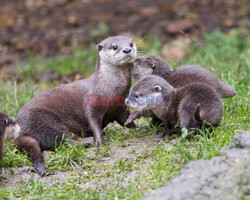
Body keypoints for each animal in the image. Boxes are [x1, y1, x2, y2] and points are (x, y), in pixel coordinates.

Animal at [16, 35, 137, 175]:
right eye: (115, 47)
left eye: (131, 44)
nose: (127, 50)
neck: (111, 90)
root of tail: (19, 127)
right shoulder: (93, 104)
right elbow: (93, 122)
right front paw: (100, 140)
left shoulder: (121, 107)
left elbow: (126, 119)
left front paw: (139, 128)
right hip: (45, 122)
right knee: (66, 141)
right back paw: (92, 139)